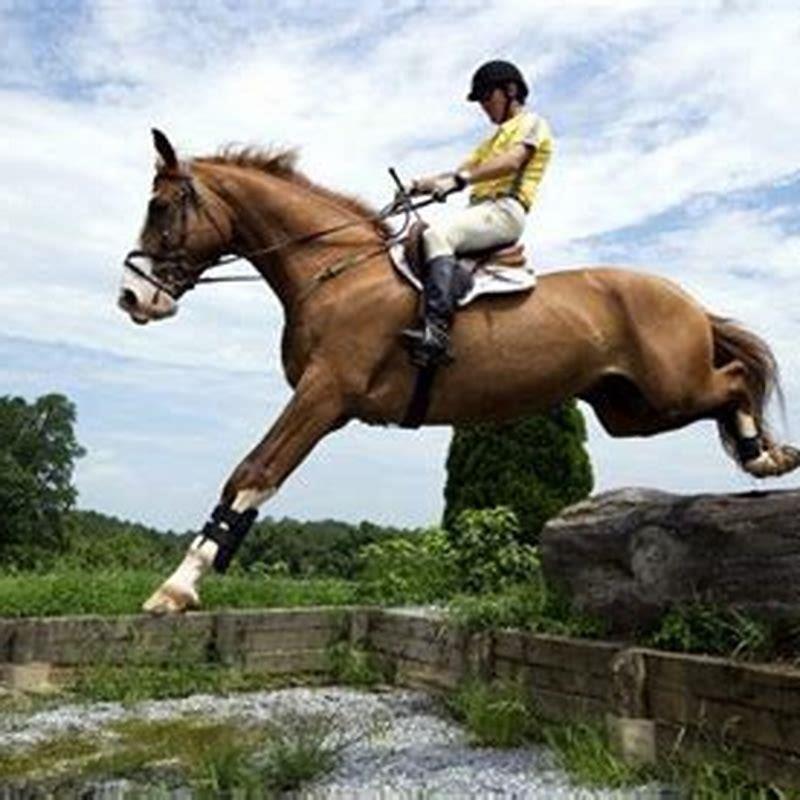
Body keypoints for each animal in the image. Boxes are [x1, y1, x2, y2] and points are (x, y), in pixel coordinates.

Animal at [118, 129, 800, 614]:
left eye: (159, 206)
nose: (132, 297)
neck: (336, 271)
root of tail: (680, 294)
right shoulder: (327, 405)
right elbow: (251, 479)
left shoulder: (325, 393)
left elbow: (253, 472)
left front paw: (175, 588)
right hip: (632, 410)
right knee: (724, 386)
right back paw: (762, 455)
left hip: (669, 387)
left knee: (733, 378)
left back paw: (768, 456)